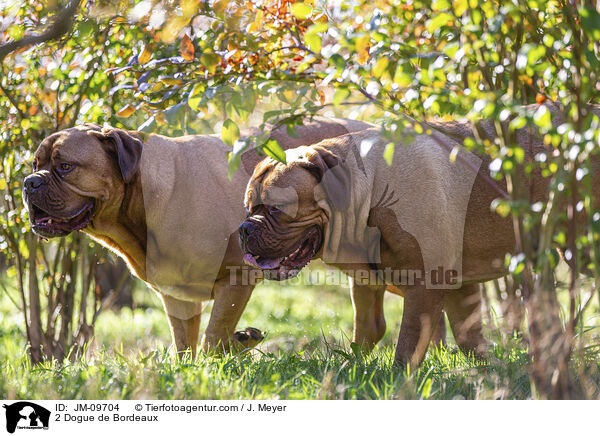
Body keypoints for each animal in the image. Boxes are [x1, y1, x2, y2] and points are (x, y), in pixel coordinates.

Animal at [23, 117, 384, 356]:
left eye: (65, 167)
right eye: (35, 163)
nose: (29, 182)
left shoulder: (235, 278)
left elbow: (214, 334)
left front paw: (222, 356)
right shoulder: (177, 298)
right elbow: (185, 343)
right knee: (372, 324)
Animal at [240, 104, 596, 366]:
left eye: (276, 210)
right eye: (249, 208)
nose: (245, 228)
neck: (370, 194)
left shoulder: (428, 281)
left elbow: (410, 339)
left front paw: (399, 379)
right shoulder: (377, 283)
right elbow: (378, 331)